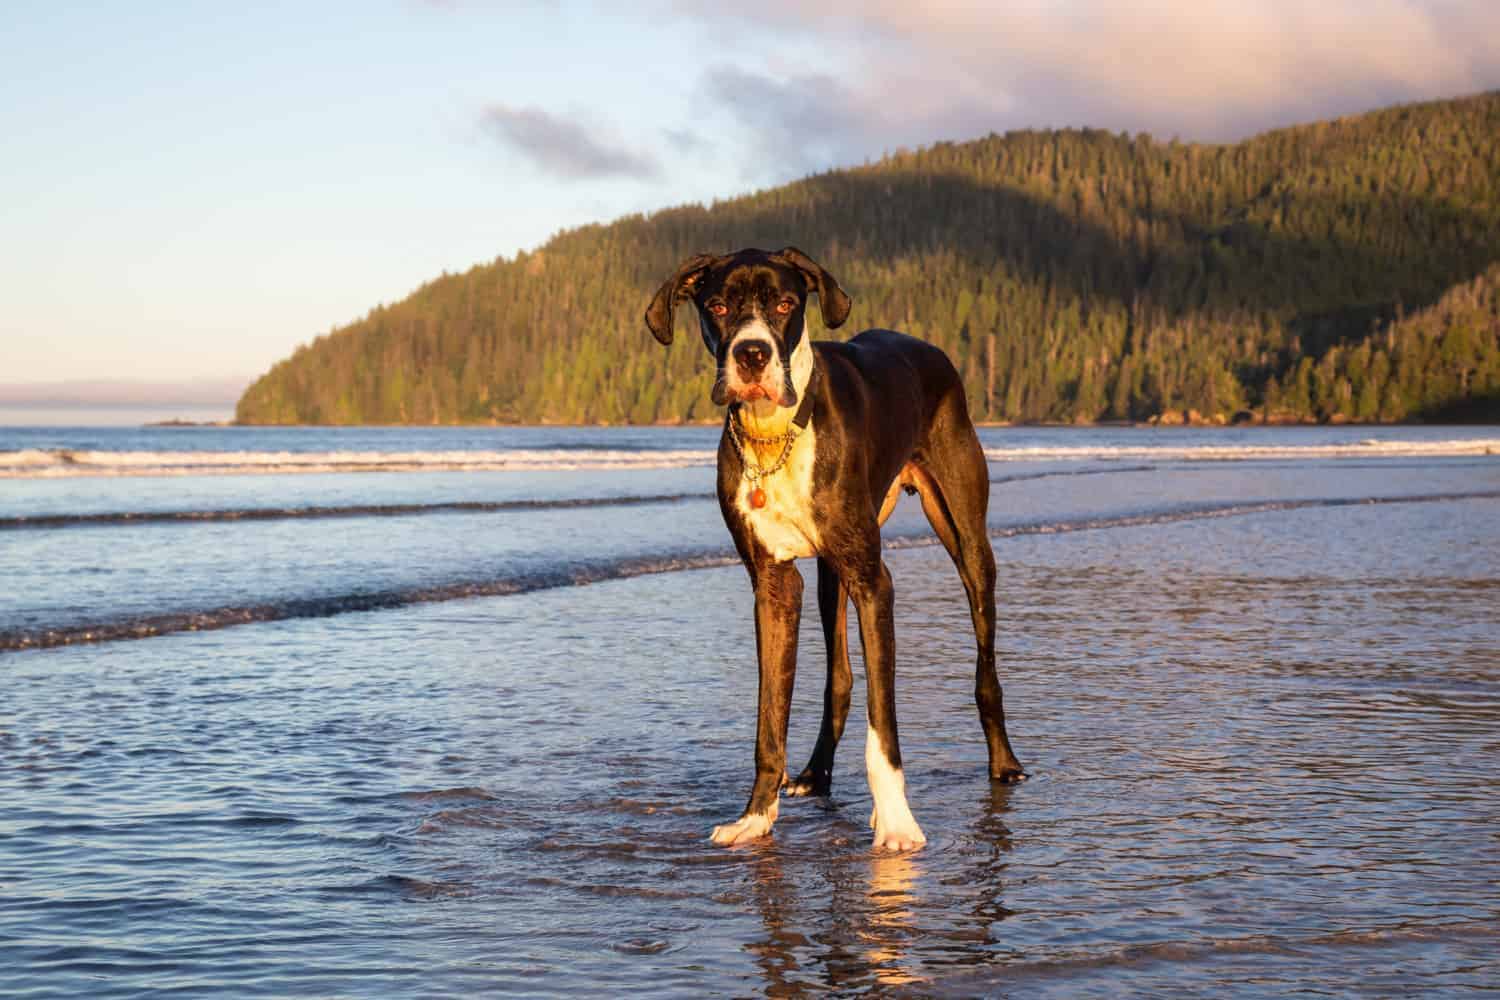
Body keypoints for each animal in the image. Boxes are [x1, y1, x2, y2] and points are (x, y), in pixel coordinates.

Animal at [639, 245, 1026, 851]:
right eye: (718, 306)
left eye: (784, 304)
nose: (752, 354)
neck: (776, 431)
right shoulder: (774, 587)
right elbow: (769, 717)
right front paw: (756, 816)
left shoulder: (873, 581)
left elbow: (883, 721)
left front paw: (896, 823)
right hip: (828, 577)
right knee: (839, 679)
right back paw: (815, 774)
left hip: (967, 541)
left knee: (985, 662)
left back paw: (1004, 763)